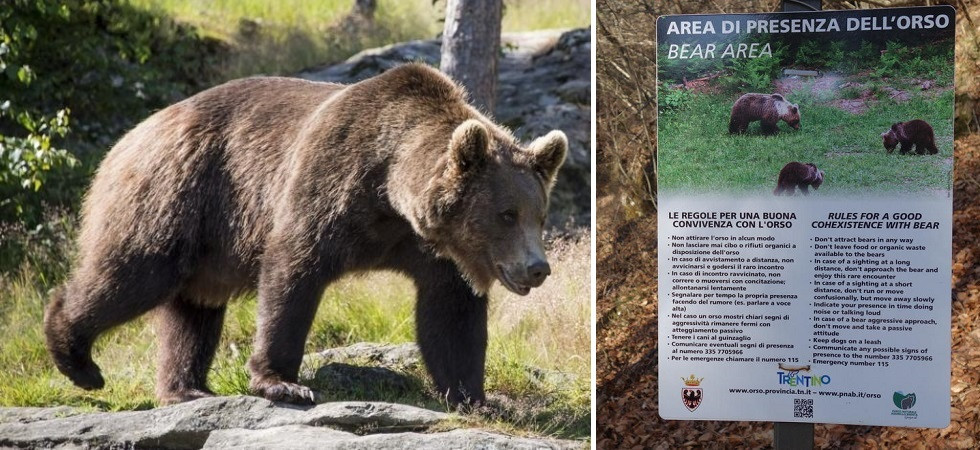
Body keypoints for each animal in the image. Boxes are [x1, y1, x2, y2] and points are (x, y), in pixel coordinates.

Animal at [43, 63, 567, 407]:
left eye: (539, 214)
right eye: (506, 214)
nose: (537, 268)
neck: (390, 193)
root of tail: (132, 134)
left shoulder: (433, 250)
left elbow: (451, 315)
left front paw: (475, 397)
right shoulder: (328, 185)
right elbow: (293, 272)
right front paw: (283, 382)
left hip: (206, 243)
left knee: (194, 309)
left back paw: (186, 387)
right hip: (176, 194)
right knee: (135, 273)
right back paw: (77, 358)